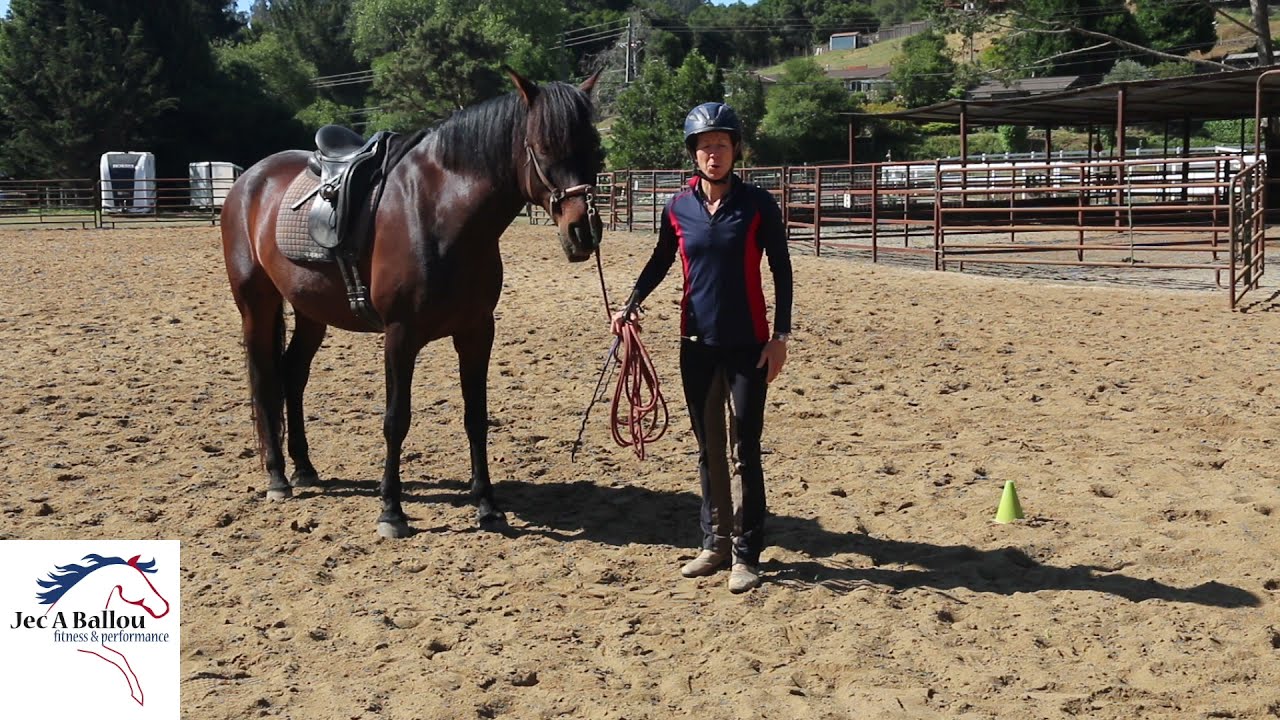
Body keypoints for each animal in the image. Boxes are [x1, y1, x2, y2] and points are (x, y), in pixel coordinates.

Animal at [220, 69, 604, 539]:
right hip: (256, 304)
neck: (440, 212)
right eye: (544, 146)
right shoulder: (400, 335)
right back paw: (277, 477)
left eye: (595, 147)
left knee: (292, 374)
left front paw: (488, 507)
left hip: (310, 310)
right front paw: (391, 511)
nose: (584, 231)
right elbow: (396, 420)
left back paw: (305, 468)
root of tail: (248, 180)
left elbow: (476, 417)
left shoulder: (477, 331)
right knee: (264, 379)